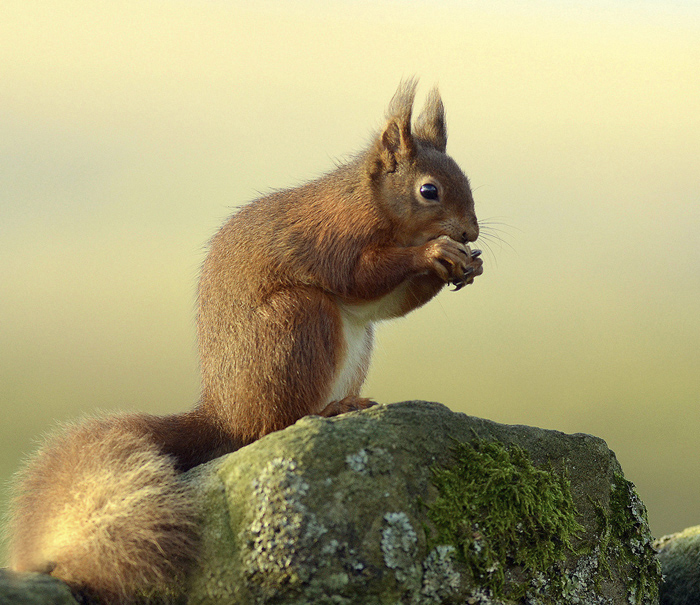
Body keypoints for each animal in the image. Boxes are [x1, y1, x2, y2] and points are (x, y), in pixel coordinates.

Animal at [7, 80, 483, 603]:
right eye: (429, 191)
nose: (471, 231)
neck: (371, 202)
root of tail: (225, 413)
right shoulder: (335, 236)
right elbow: (360, 276)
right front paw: (435, 252)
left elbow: (385, 304)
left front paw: (468, 263)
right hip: (299, 320)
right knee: (273, 424)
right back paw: (328, 411)